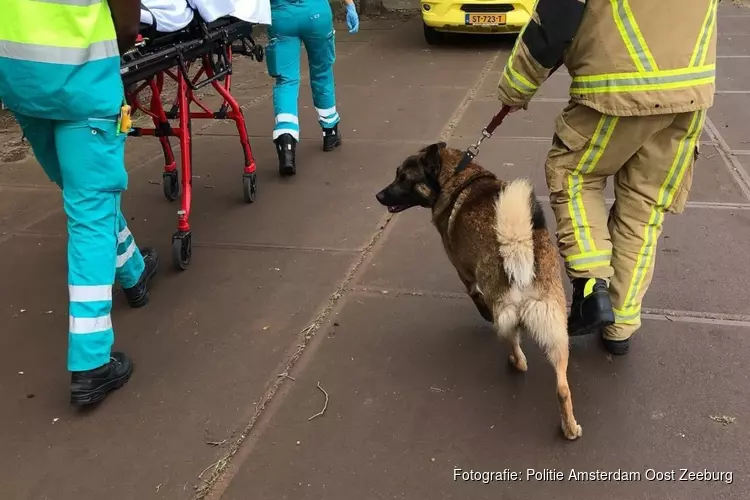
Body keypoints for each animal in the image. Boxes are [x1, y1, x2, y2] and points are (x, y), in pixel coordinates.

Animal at [378, 142, 584, 442]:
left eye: (405, 179)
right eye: (397, 175)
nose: (379, 195)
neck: (457, 175)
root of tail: (517, 247)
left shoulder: (464, 274)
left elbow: (475, 298)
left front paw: (483, 313)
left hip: (507, 320)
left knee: (519, 355)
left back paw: (514, 361)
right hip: (556, 330)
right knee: (562, 388)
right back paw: (569, 428)